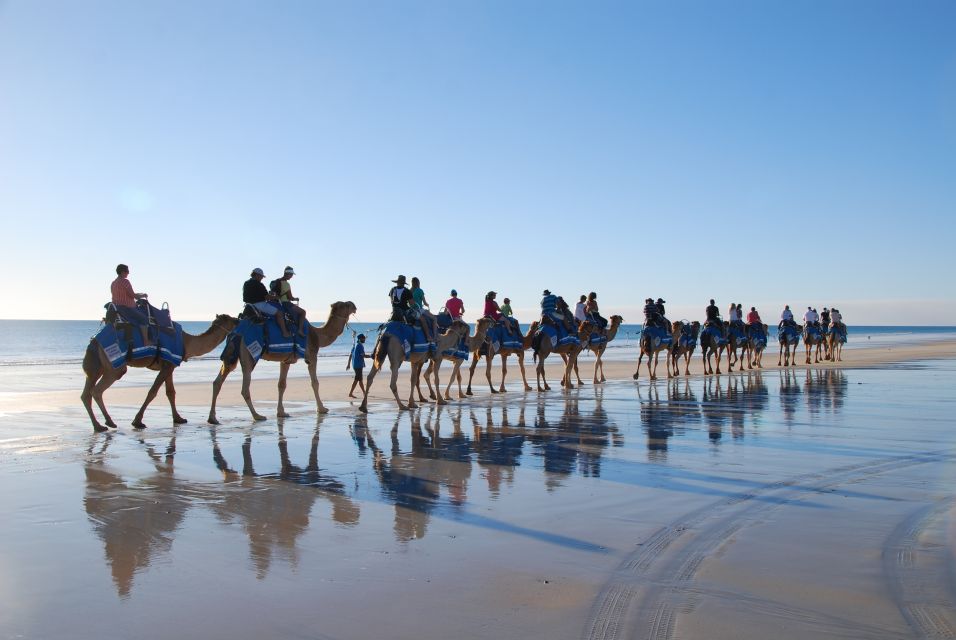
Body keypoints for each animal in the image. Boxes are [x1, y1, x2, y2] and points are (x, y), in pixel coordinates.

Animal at [82, 314, 239, 432]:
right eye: (230, 319)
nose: (238, 318)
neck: (187, 342)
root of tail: (94, 341)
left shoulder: (170, 365)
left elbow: (170, 392)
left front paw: (179, 419)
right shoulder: (168, 366)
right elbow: (153, 391)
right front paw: (137, 421)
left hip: (97, 366)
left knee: (86, 393)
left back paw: (98, 426)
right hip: (113, 366)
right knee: (97, 390)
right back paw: (109, 422)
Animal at [208, 302, 354, 424]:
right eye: (345, 305)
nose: (354, 305)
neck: (318, 334)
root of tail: (236, 332)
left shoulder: (286, 360)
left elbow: (281, 384)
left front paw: (281, 412)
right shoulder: (312, 356)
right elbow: (315, 383)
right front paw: (322, 408)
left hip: (231, 355)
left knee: (217, 382)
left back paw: (213, 418)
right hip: (248, 354)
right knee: (245, 388)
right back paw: (257, 416)